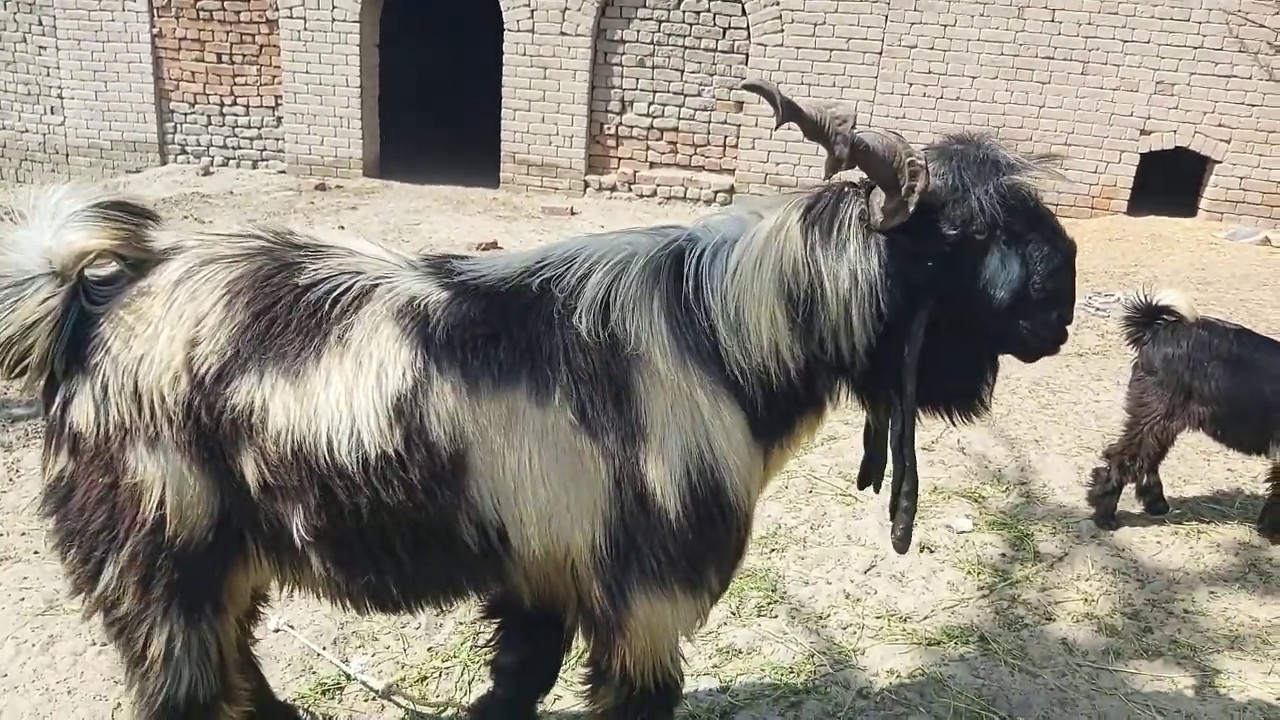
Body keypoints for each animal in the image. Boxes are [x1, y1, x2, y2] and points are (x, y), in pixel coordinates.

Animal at [0, 126, 1074, 719]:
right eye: (972, 234)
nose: (1061, 309)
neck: (723, 338)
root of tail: (88, 306)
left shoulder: (548, 569)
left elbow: (518, 681)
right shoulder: (644, 594)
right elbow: (629, 700)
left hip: (225, 553)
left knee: (234, 663)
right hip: (157, 554)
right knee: (186, 684)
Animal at [1087, 288, 1280, 541]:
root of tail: (1157, 329)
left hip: (1163, 424)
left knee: (1148, 460)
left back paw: (1156, 504)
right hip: (1156, 418)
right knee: (1124, 459)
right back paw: (1105, 514)